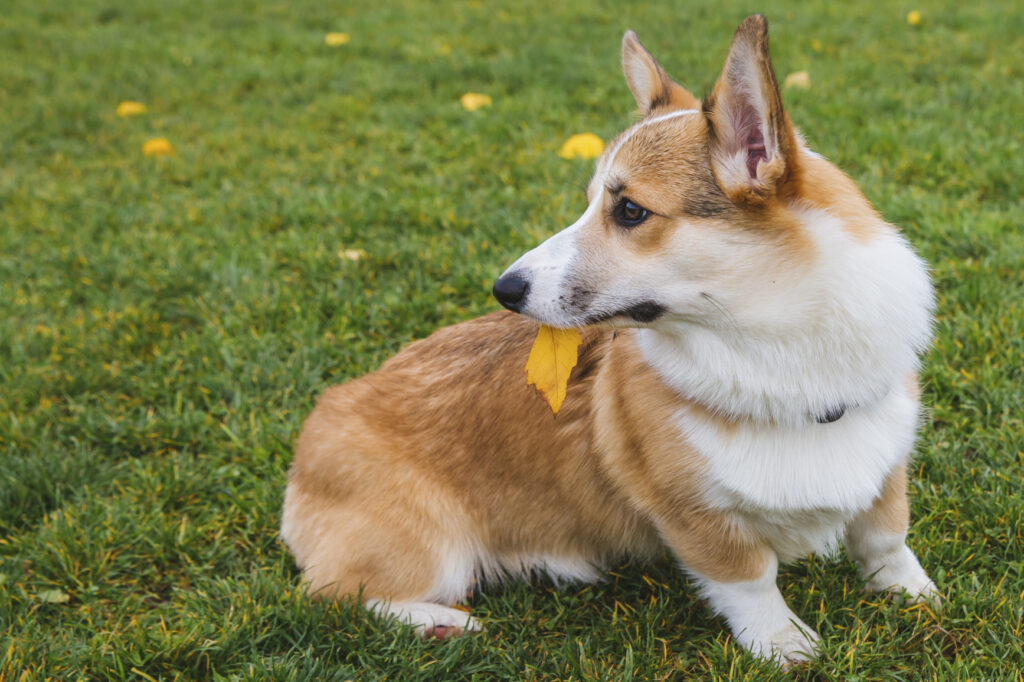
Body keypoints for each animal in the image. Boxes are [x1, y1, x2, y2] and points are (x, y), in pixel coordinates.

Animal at [278, 17, 937, 663]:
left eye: (630, 211)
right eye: (591, 203)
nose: (504, 289)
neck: (779, 358)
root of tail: (311, 437)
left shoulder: (887, 465)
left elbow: (887, 538)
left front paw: (916, 595)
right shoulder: (696, 516)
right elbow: (750, 579)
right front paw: (783, 644)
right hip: (429, 550)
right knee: (331, 596)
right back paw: (439, 622)